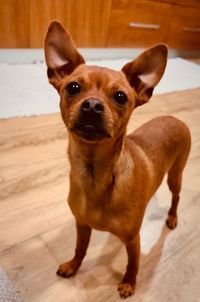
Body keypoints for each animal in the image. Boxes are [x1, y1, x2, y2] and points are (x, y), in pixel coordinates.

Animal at [44, 21, 191, 300]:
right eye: (73, 88)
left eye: (121, 97)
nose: (92, 105)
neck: (95, 176)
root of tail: (175, 118)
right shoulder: (82, 226)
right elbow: (80, 249)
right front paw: (73, 266)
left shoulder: (133, 240)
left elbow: (133, 264)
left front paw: (128, 284)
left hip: (175, 176)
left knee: (176, 197)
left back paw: (172, 218)